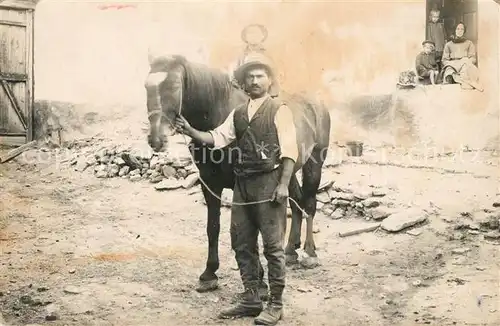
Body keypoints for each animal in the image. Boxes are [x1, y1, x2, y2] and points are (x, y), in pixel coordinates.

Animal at [144, 55, 332, 292]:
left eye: (174, 86)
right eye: (146, 87)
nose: (156, 139)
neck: (218, 112)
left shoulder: (241, 186)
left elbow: (249, 231)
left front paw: (259, 279)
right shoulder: (209, 184)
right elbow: (213, 227)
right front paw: (209, 274)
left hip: (314, 164)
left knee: (309, 204)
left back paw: (309, 253)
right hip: (287, 173)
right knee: (296, 201)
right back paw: (290, 251)